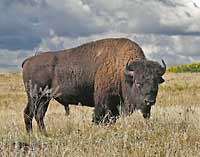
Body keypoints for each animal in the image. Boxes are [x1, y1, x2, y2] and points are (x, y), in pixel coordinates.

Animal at [21, 38, 166, 135]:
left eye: (156, 83)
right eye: (138, 83)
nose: (149, 101)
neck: (122, 71)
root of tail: (29, 60)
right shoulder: (104, 102)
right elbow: (100, 118)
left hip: (45, 98)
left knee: (39, 115)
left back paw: (45, 134)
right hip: (35, 96)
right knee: (29, 113)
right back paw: (31, 135)